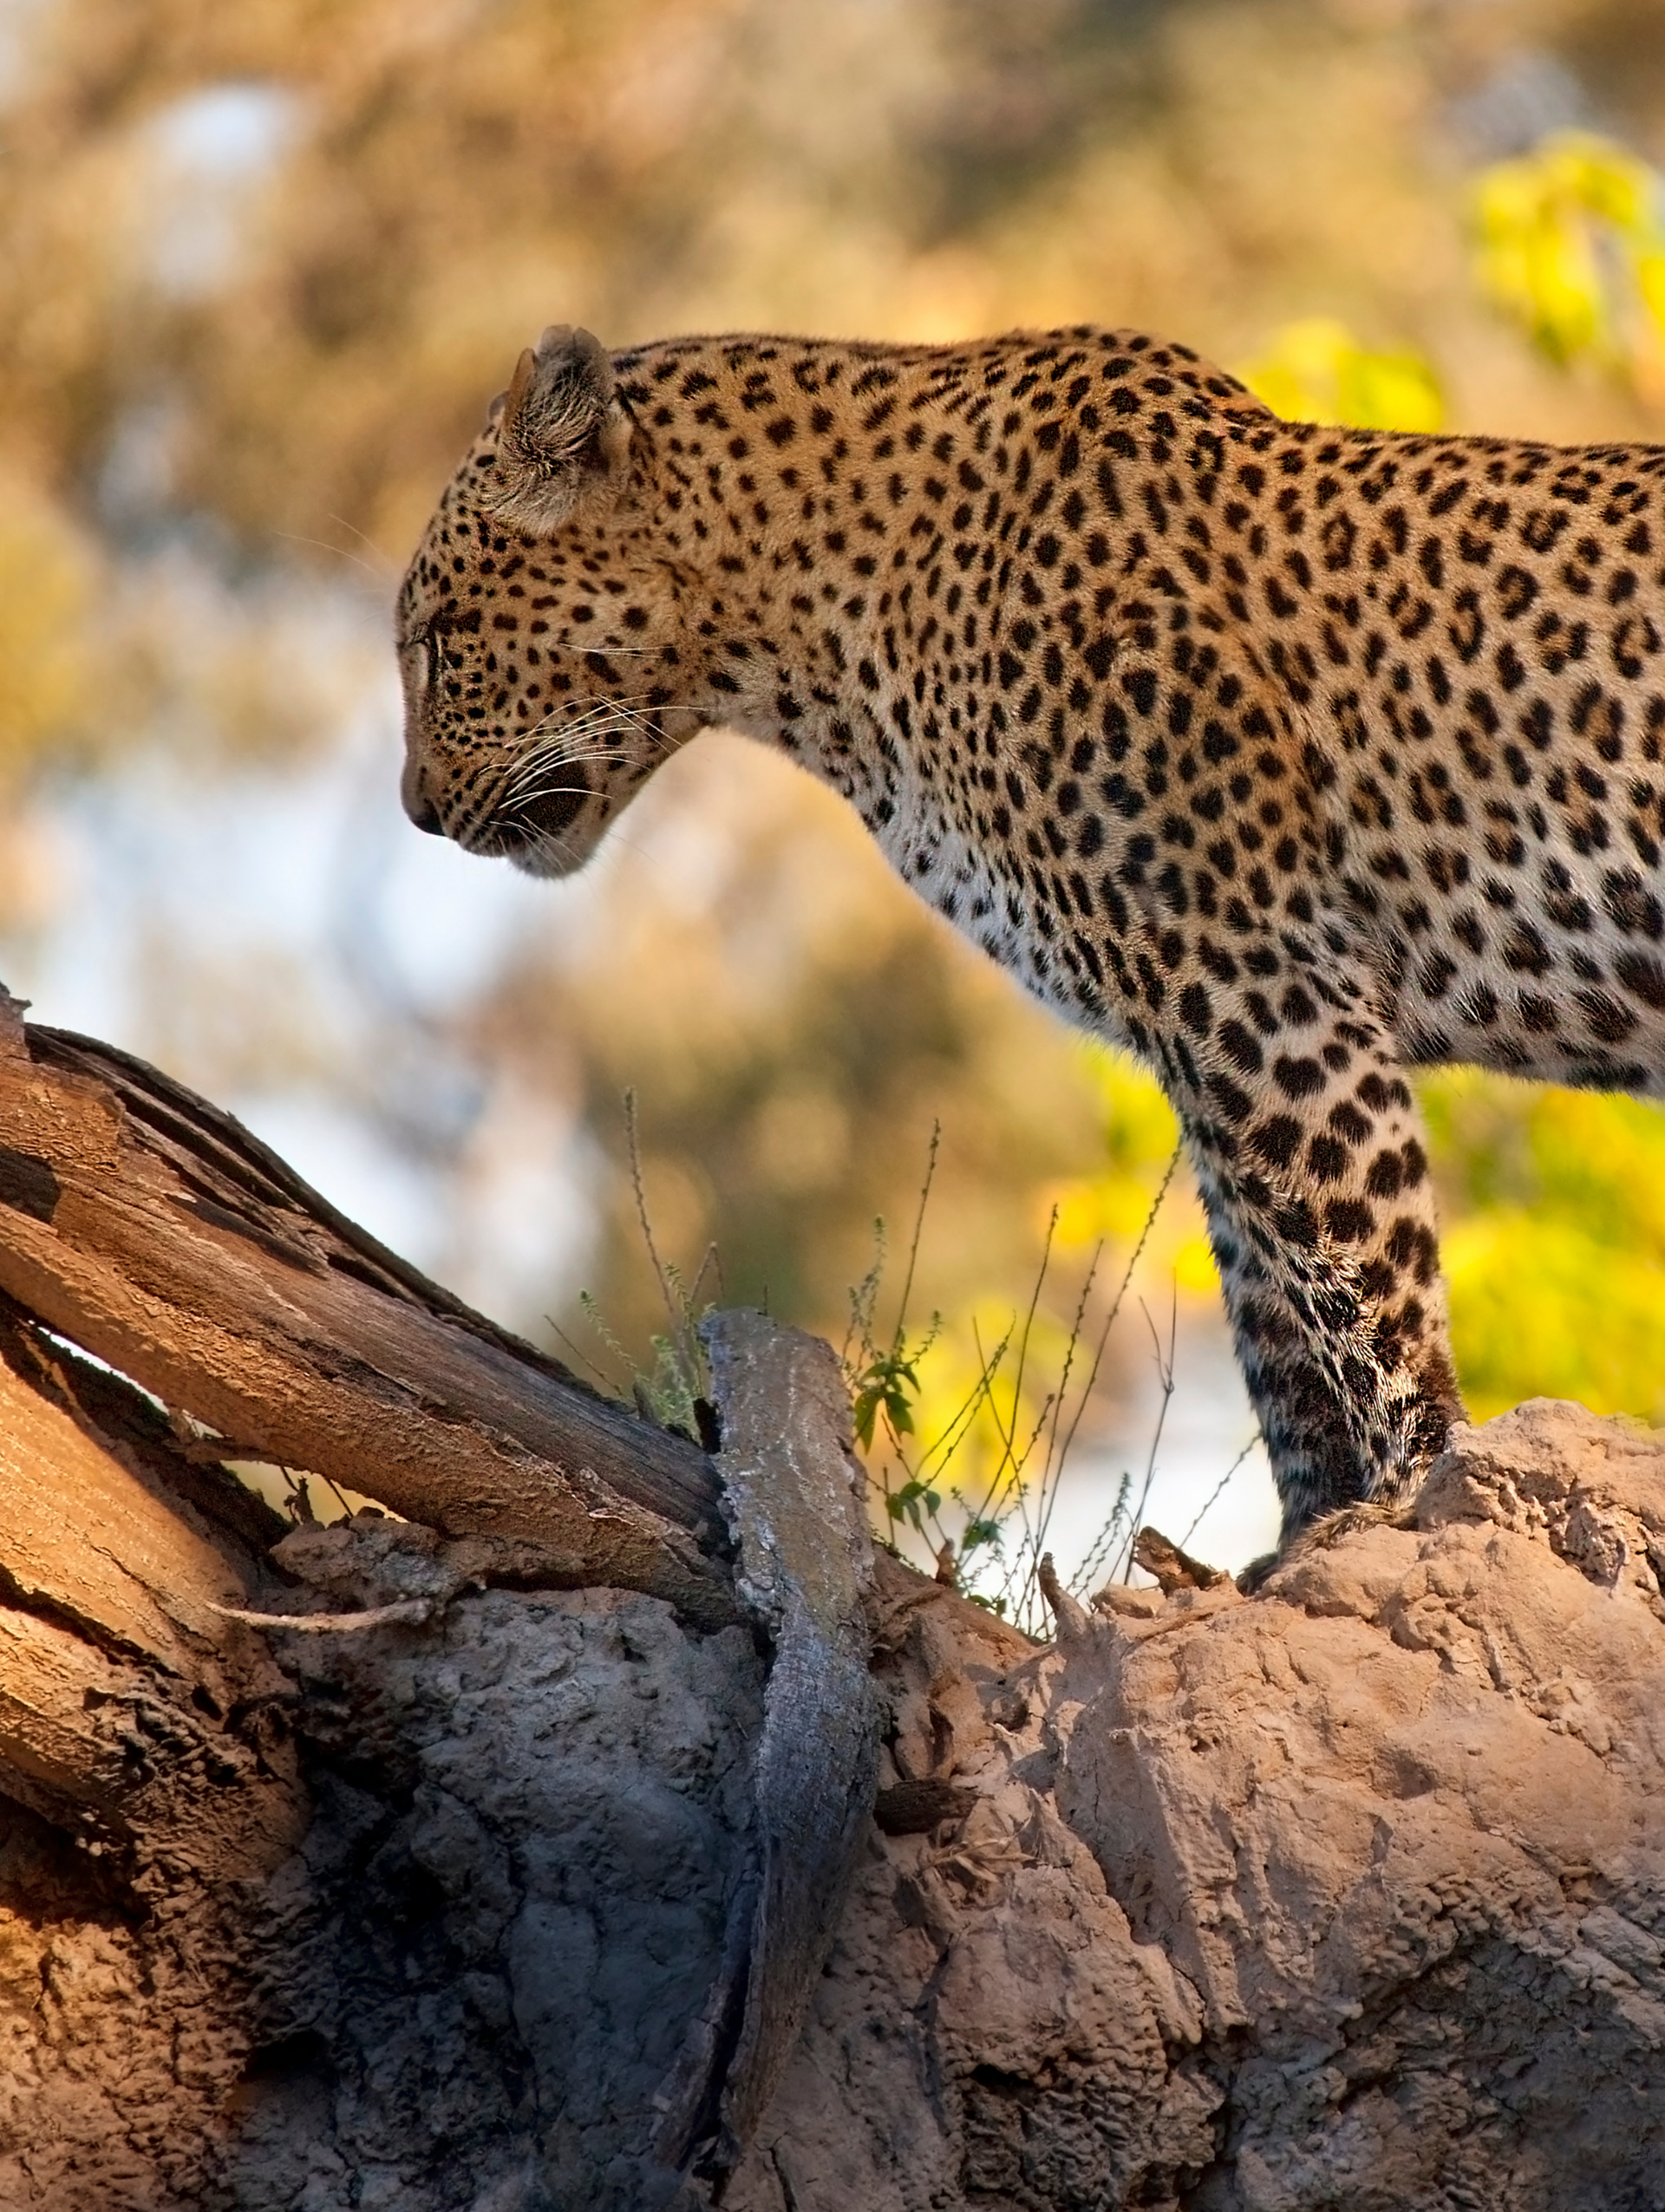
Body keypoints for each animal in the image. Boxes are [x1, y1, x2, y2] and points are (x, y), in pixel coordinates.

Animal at [393, 323, 1662, 1556]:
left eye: (437, 640)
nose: (413, 811)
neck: (818, 637)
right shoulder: (1208, 1031)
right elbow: (1274, 1313)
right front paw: (1305, 1542)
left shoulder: (1260, 976)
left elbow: (1360, 1280)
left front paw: (1411, 1502)